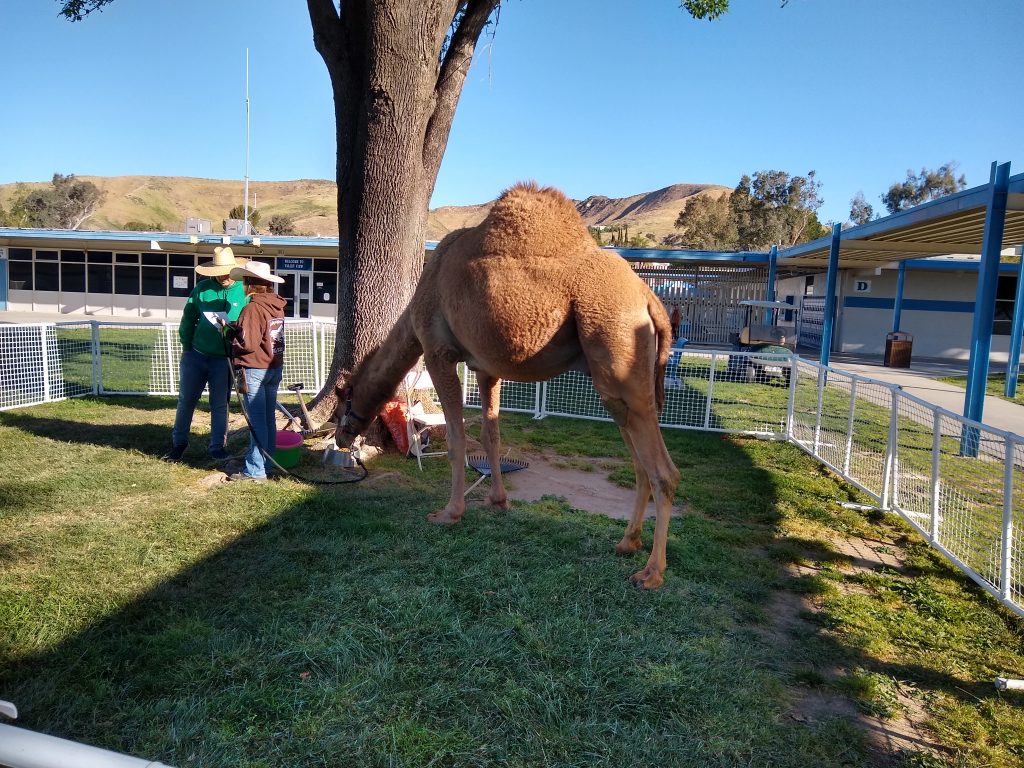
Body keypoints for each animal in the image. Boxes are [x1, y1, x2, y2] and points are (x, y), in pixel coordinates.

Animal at [335, 180, 684, 589]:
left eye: (342, 403)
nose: (340, 438)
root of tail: (651, 300)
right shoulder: (487, 368)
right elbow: (492, 435)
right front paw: (498, 501)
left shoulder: (438, 351)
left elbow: (457, 440)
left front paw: (449, 513)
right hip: (613, 383)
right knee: (639, 460)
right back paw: (627, 542)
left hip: (618, 351)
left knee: (664, 471)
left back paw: (652, 572)